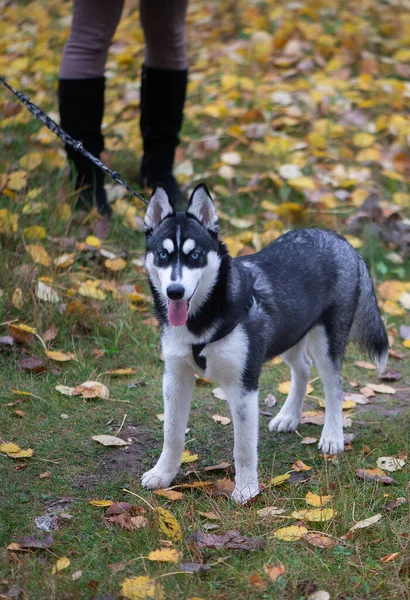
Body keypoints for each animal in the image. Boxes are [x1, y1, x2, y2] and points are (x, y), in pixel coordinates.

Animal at [141, 185, 388, 504]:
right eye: (163, 254)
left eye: (194, 255)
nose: (175, 291)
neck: (203, 319)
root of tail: (342, 241)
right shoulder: (175, 378)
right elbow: (171, 434)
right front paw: (163, 474)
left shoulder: (244, 385)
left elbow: (244, 448)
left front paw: (246, 489)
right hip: (289, 333)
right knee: (303, 368)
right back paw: (289, 416)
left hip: (327, 339)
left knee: (334, 386)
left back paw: (332, 436)